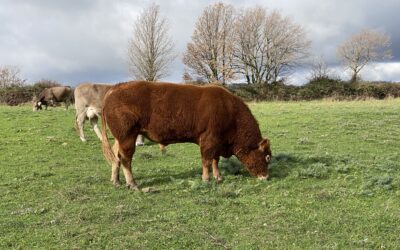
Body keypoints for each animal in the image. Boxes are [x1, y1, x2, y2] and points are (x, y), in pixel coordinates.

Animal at [101, 81, 272, 190]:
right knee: (125, 159)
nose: (266, 177)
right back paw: (132, 184)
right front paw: (206, 179)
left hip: (120, 138)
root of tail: (115, 87)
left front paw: (218, 177)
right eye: (267, 157)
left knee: (116, 157)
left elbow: (215, 160)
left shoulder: (217, 142)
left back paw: (116, 180)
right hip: (127, 136)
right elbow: (207, 161)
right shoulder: (208, 140)